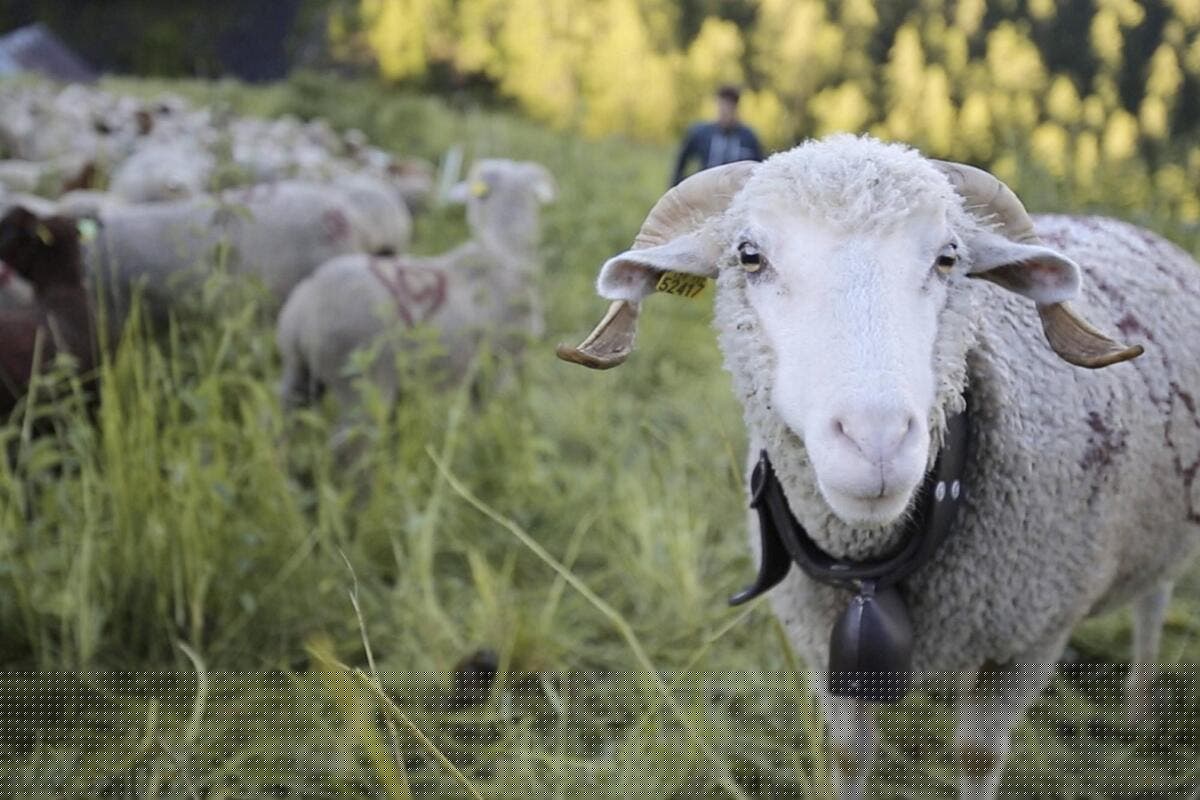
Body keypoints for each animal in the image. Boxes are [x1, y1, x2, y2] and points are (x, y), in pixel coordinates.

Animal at [275, 159, 556, 437]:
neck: (506, 253)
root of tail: (308, 307)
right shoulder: (501, 362)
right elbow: (484, 415)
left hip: (297, 370)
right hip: (362, 382)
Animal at [558, 134, 1198, 799]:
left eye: (948, 257)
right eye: (749, 256)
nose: (877, 443)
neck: (871, 559)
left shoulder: (1029, 639)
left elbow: (976, 756)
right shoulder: (825, 652)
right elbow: (849, 755)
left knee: (1154, 599)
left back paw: (1139, 707)